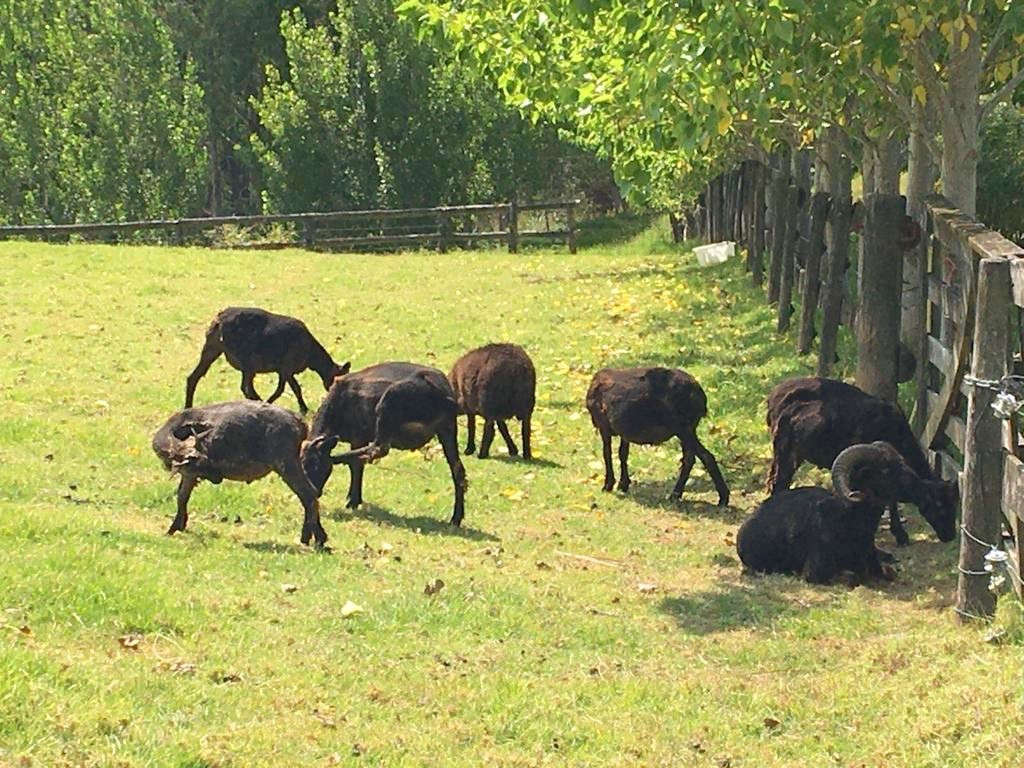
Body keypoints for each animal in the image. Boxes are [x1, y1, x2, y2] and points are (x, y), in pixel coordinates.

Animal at [152, 400, 335, 547]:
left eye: (204, 461)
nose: (217, 478)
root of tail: (301, 424)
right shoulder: (189, 475)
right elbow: (182, 496)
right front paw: (177, 526)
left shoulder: (190, 472)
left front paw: (173, 527)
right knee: (311, 494)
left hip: (286, 464)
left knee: (308, 494)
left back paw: (315, 539)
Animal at [184, 307, 349, 415]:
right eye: (336, 379)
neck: (311, 357)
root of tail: (219, 321)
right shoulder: (286, 367)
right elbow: (288, 389)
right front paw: (302, 408)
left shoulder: (285, 370)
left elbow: (292, 388)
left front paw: (303, 408)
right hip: (246, 359)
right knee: (245, 387)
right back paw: (259, 402)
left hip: (212, 349)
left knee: (194, 377)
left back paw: (187, 407)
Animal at [301, 362, 468, 526]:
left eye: (316, 466)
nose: (314, 493)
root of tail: (444, 395)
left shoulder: (358, 436)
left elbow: (356, 466)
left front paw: (353, 501)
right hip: (447, 429)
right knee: (457, 469)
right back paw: (456, 519)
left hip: (388, 405)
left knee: (379, 449)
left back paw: (339, 457)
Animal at [585, 366, 729, 505]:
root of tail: (700, 396)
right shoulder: (624, 431)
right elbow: (623, 454)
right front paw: (623, 484)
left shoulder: (603, 426)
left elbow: (607, 453)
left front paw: (608, 486)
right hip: (688, 428)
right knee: (690, 458)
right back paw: (677, 495)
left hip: (683, 428)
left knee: (704, 456)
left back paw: (721, 498)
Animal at [766, 376, 957, 546]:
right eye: (938, 505)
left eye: (953, 505)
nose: (950, 536)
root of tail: (774, 394)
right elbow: (890, 499)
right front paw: (899, 534)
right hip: (785, 450)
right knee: (778, 483)